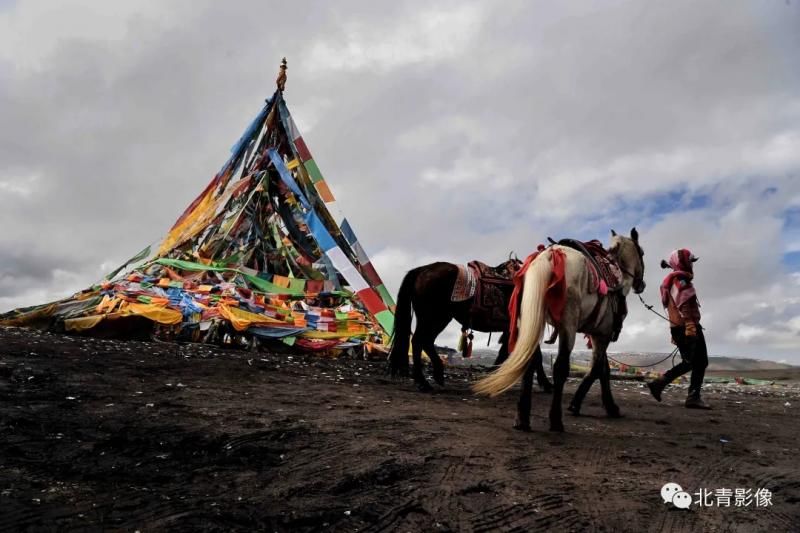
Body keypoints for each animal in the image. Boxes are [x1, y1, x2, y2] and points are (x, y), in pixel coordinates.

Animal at [386, 260, 552, 390]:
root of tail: (421, 270)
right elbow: (536, 355)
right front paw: (546, 384)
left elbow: (505, 353)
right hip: (434, 317)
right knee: (419, 341)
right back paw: (423, 382)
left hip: (436, 318)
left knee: (425, 341)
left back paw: (436, 375)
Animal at [476, 227, 644, 430]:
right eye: (642, 253)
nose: (641, 285)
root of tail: (548, 256)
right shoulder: (602, 333)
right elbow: (598, 368)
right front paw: (577, 404)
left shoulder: (596, 333)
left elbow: (604, 369)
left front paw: (610, 406)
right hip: (567, 325)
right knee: (560, 368)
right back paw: (555, 420)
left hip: (531, 320)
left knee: (529, 361)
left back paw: (522, 417)